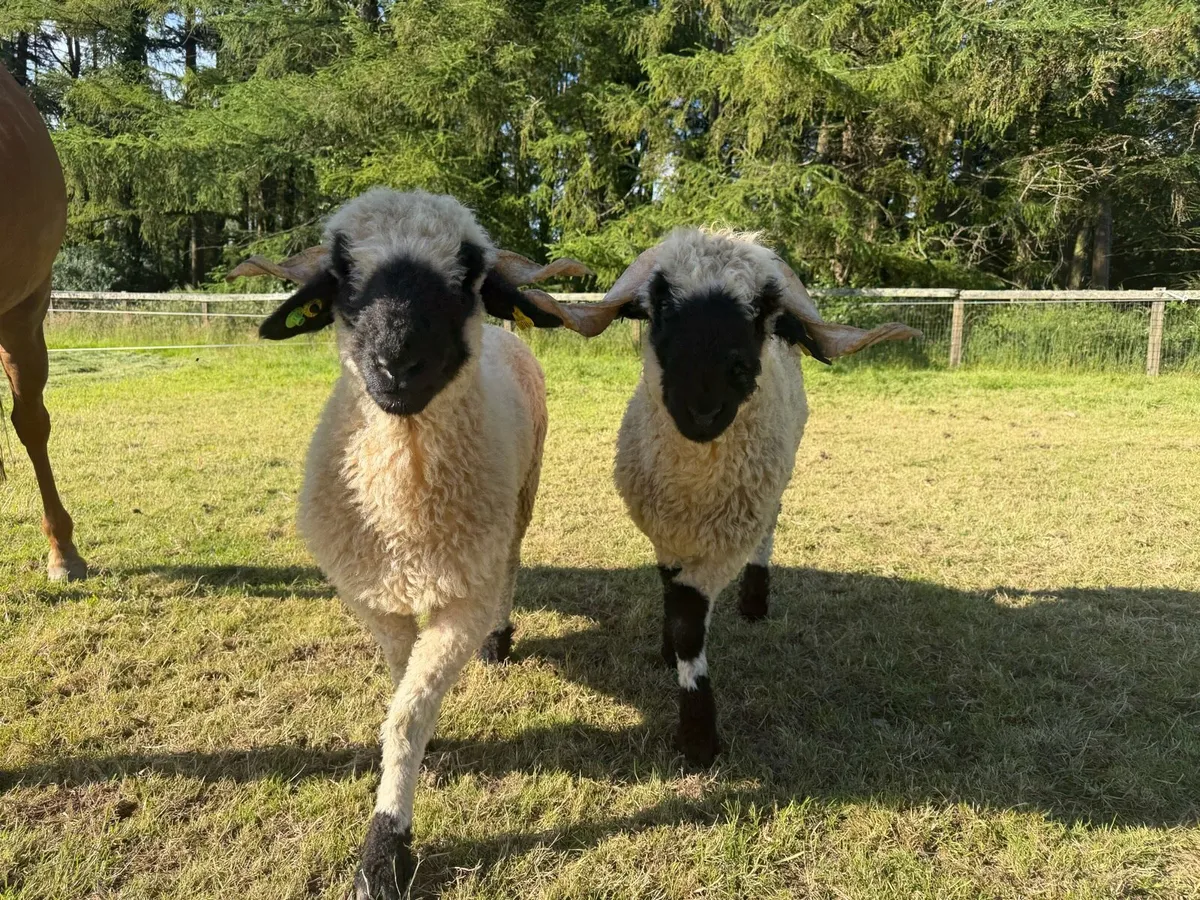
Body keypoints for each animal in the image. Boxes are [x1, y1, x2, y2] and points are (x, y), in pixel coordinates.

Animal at [229, 188, 591, 900]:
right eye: (343, 272)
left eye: (469, 273)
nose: (396, 364)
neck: (406, 510)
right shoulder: (370, 594)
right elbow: (403, 689)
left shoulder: (462, 603)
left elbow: (405, 716)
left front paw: (385, 850)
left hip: (521, 497)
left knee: (512, 561)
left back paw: (501, 641)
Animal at [527, 228, 920, 765]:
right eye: (658, 307)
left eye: (762, 311)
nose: (703, 405)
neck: (695, 489)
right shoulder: (665, 531)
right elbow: (674, 603)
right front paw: (669, 654)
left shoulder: (726, 543)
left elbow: (692, 622)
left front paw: (698, 738)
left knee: (769, 531)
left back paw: (754, 602)